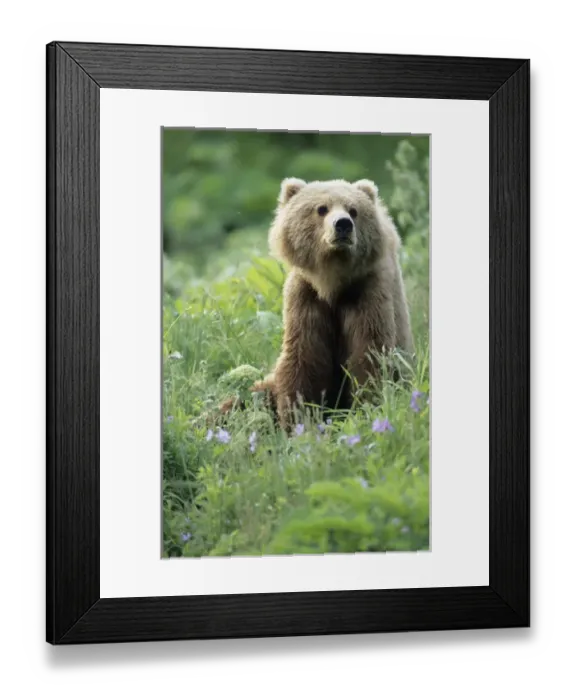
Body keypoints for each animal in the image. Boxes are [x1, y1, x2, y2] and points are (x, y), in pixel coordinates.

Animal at [251, 177, 414, 429]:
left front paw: (367, 410)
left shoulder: (368, 294)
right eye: (321, 208)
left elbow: (370, 354)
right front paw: (298, 421)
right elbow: (303, 358)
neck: (332, 284)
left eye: (354, 210)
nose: (343, 224)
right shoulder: (307, 298)